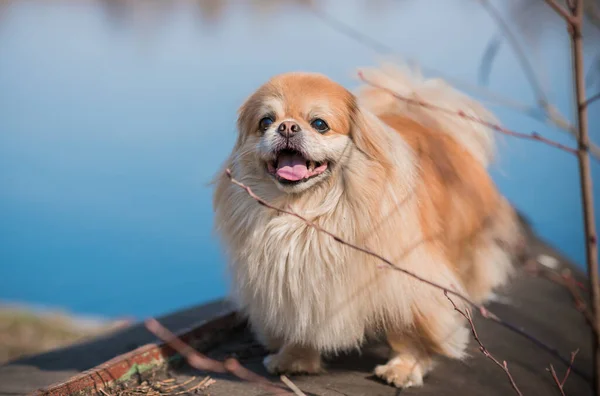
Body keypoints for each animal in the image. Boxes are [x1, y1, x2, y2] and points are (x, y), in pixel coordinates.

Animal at [213, 63, 524, 388]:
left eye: (319, 124)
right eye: (266, 122)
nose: (286, 127)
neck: (306, 213)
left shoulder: (408, 279)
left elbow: (408, 330)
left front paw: (405, 367)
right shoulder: (296, 282)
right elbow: (303, 324)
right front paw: (295, 358)